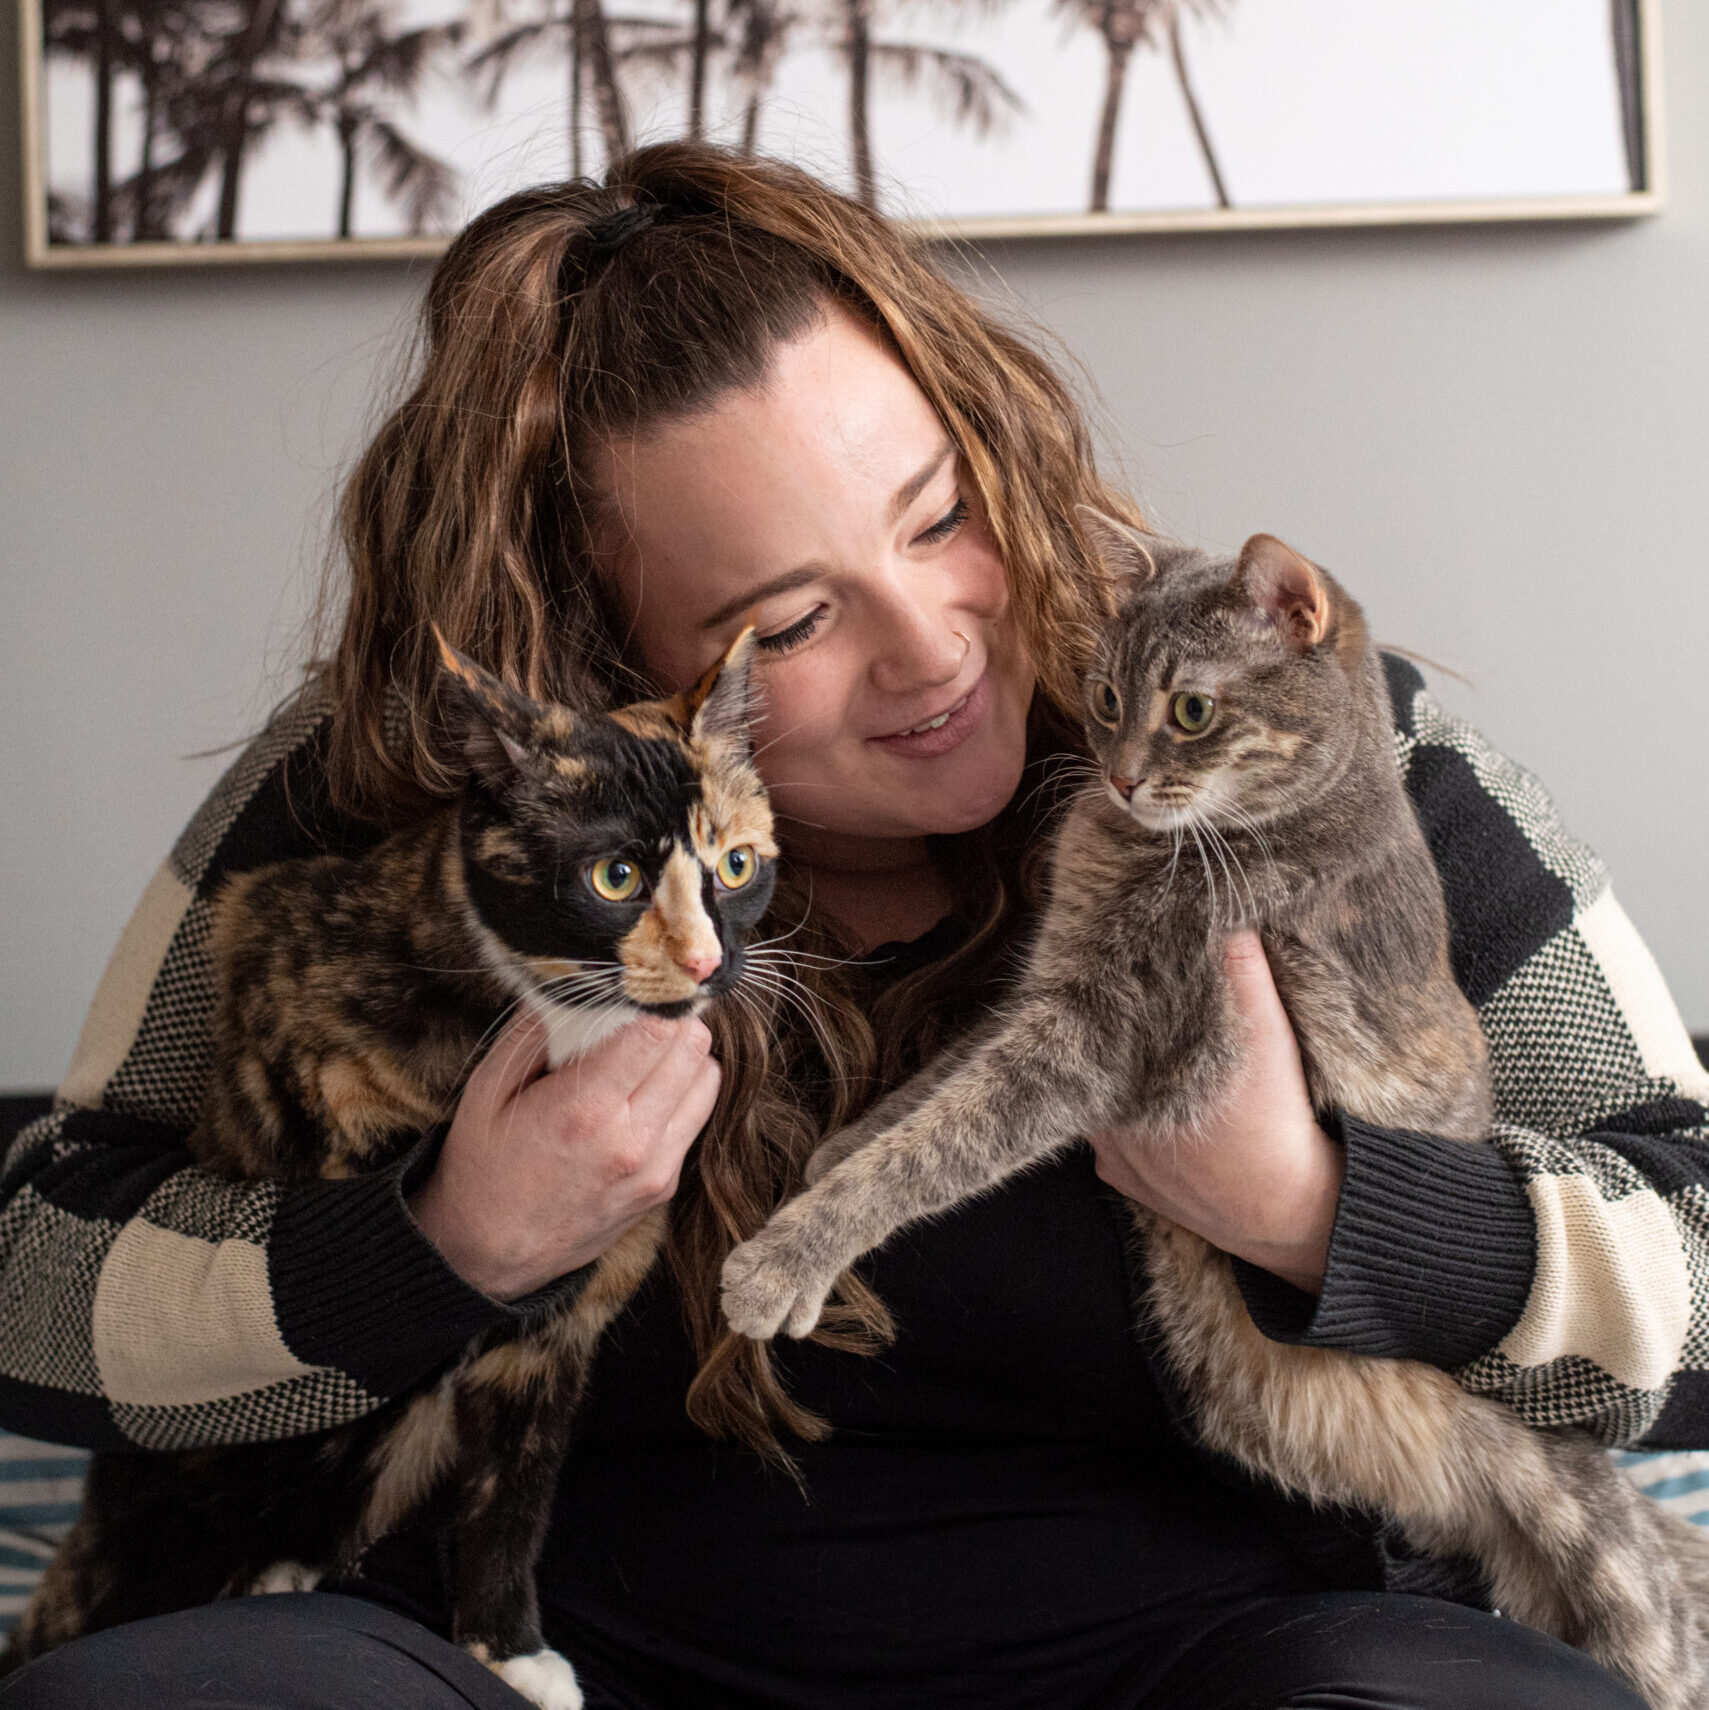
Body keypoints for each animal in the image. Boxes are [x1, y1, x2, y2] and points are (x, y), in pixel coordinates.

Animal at [3, 632, 780, 1710]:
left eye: (735, 865)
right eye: (615, 876)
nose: (709, 963)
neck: (563, 1023)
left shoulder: (555, 1348)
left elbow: (511, 1498)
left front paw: (506, 1651)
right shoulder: (272, 946)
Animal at [715, 519, 1709, 1710]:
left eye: (1189, 710)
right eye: (1103, 698)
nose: (1119, 775)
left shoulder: (1099, 1036)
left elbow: (945, 1140)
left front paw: (786, 1257)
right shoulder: (1047, 986)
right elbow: (932, 1085)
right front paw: (837, 1147)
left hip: (1608, 1569)